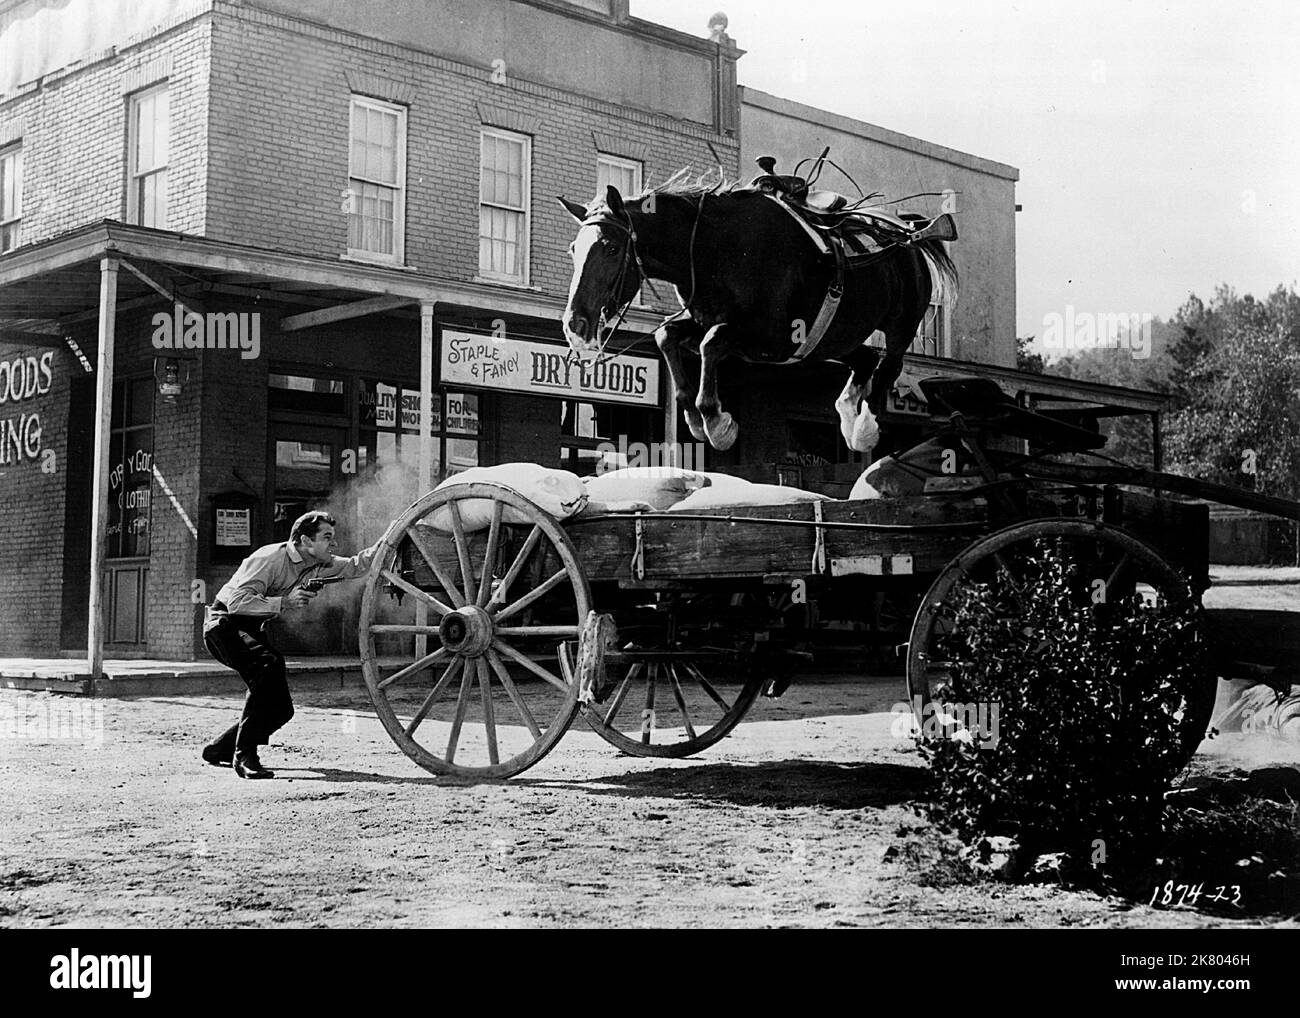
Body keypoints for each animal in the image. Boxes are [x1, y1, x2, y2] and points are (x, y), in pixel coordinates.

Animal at [556, 161, 956, 455]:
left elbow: (711, 345)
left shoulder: (772, 337)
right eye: (574, 249)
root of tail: (908, 237)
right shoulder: (705, 319)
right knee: (866, 360)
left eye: (611, 248)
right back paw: (846, 413)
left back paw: (864, 430)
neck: (717, 250)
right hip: (834, 339)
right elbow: (667, 335)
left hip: (900, 324)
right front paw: (696, 417)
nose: (575, 324)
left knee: (889, 366)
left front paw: (717, 423)